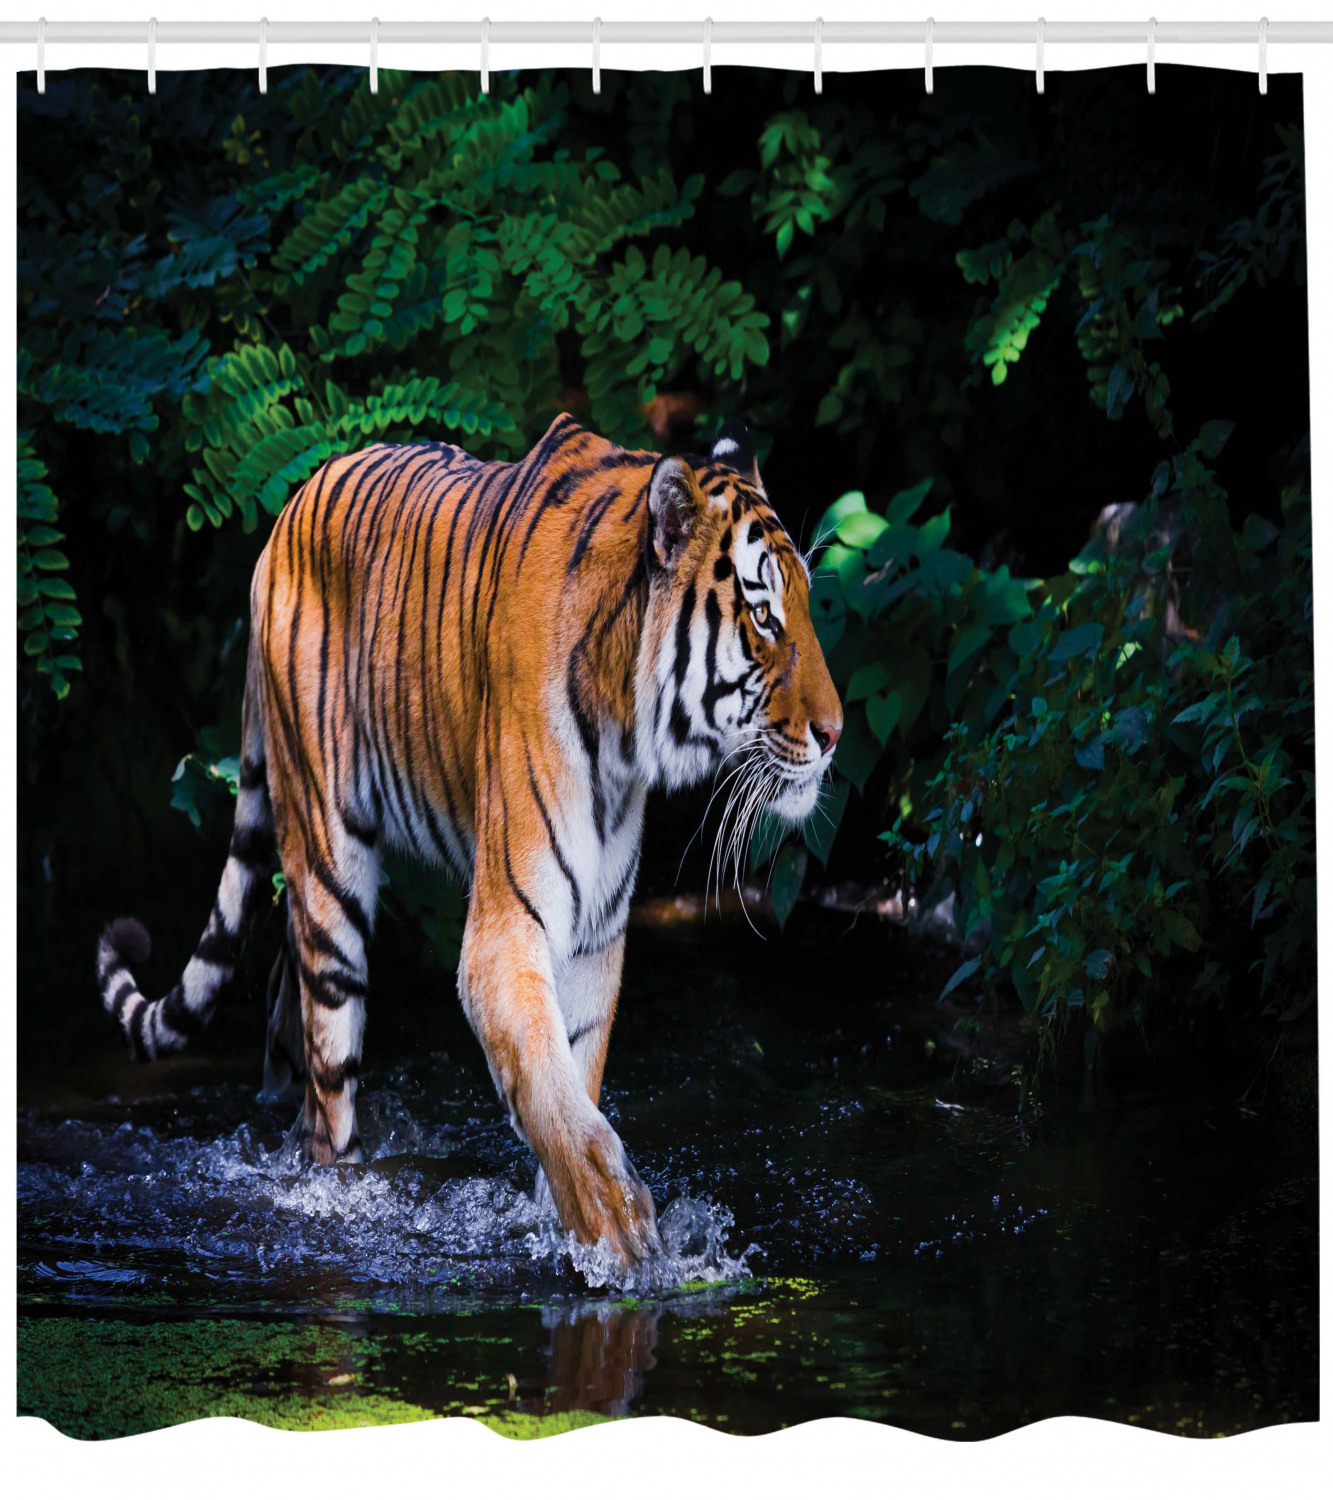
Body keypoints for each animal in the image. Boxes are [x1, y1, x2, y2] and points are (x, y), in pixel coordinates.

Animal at [96, 415, 843, 1267]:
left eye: (805, 607)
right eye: (764, 618)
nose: (834, 735)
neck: (628, 726)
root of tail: (284, 515)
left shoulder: (595, 935)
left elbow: (569, 1077)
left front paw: (568, 1217)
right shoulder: (507, 925)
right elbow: (552, 1092)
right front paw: (616, 1226)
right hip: (327, 868)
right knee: (330, 1087)